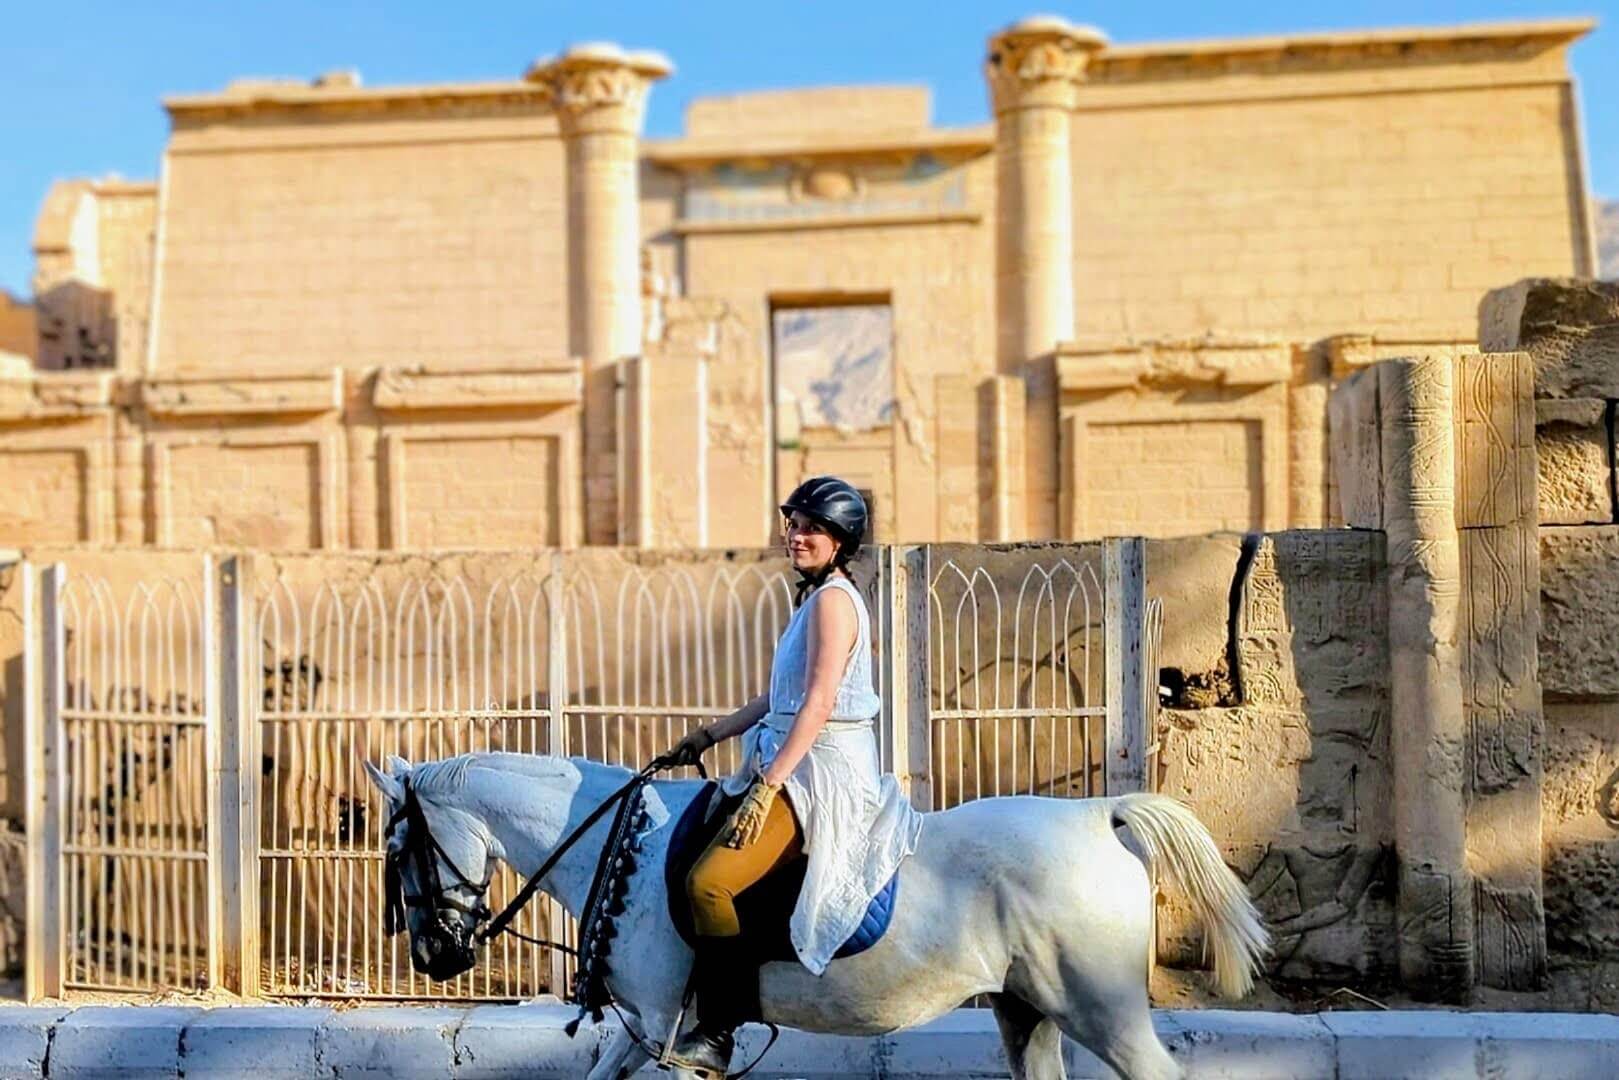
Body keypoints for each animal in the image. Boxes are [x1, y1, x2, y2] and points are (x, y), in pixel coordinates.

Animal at [364, 751, 1262, 1080]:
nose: (435, 957)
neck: (626, 846)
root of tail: (1095, 815)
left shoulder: (671, 1031)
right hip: (1027, 1009)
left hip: (1099, 1009)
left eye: (398, 845)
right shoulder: (646, 1028)